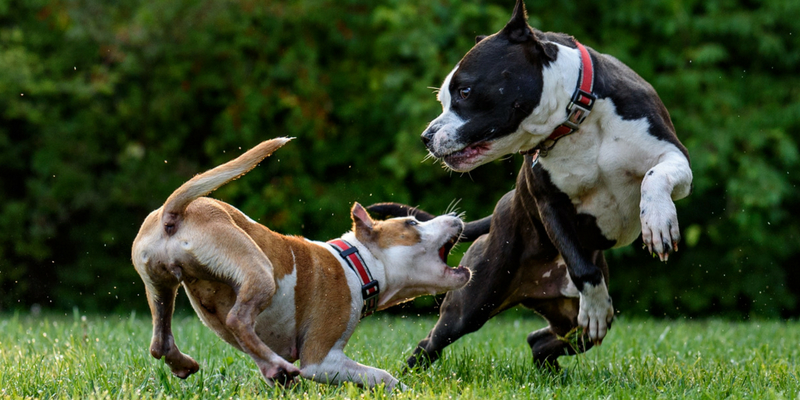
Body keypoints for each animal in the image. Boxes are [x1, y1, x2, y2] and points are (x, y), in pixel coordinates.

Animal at [130, 138, 468, 390]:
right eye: (412, 223)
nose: (456, 216)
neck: (357, 263)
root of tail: (173, 213)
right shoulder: (321, 360)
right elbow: (380, 376)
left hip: (160, 286)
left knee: (160, 341)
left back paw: (194, 364)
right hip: (258, 270)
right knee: (238, 319)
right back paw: (277, 365)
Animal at [368, 0, 688, 368]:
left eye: (465, 91)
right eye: (443, 100)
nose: (426, 136)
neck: (576, 118)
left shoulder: (673, 155)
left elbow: (654, 176)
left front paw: (659, 221)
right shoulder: (549, 203)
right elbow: (582, 268)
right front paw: (594, 306)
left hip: (567, 321)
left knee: (543, 340)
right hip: (472, 302)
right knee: (431, 342)